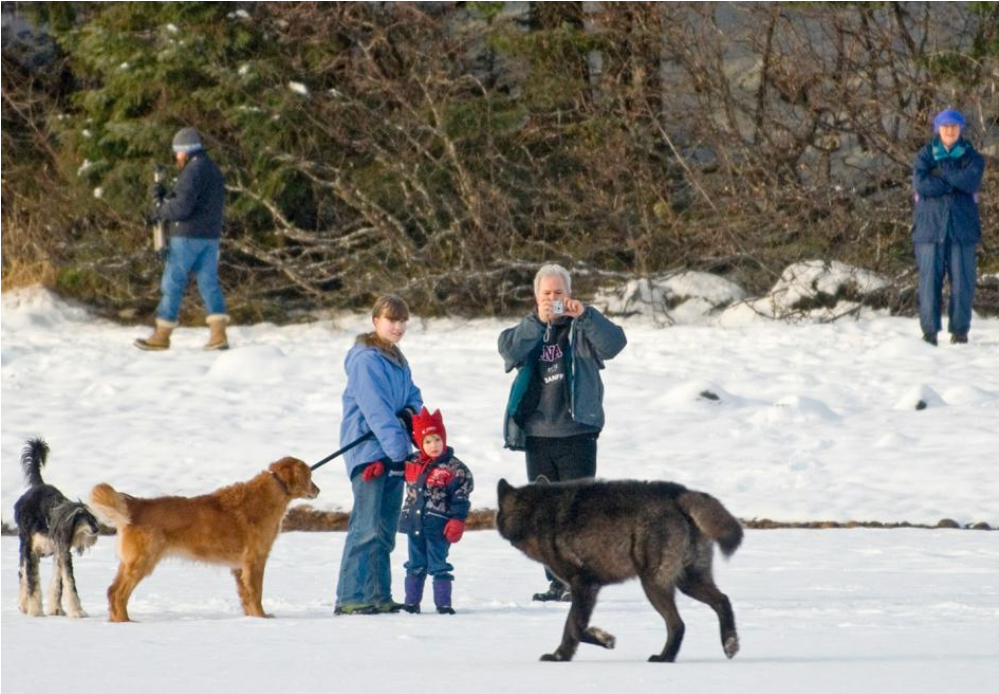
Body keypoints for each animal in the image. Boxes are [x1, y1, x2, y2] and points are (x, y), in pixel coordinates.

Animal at [14, 438, 99, 624]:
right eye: (81, 517)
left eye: (92, 517)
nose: (97, 530)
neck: (48, 522)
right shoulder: (31, 551)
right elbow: (32, 581)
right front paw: (35, 611)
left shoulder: (62, 551)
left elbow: (66, 582)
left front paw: (75, 611)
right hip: (24, 544)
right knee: (22, 573)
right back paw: (24, 604)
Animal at [89, 456, 318, 624]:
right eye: (309, 475)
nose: (318, 490)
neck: (270, 493)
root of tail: (136, 505)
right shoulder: (255, 560)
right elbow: (256, 593)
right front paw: (261, 618)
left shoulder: (239, 567)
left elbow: (245, 596)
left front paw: (251, 618)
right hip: (142, 562)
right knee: (119, 593)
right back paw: (125, 621)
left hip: (129, 563)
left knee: (111, 591)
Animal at [498, 478, 744, 664]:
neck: (537, 513)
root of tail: (679, 493)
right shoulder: (584, 588)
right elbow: (571, 629)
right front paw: (560, 657)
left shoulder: (584, 585)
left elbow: (576, 627)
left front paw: (605, 640)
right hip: (689, 582)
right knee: (722, 601)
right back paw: (729, 644)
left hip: (653, 585)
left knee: (678, 624)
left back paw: (664, 658)